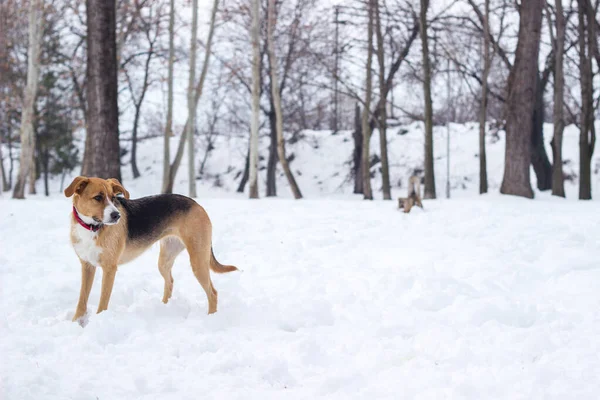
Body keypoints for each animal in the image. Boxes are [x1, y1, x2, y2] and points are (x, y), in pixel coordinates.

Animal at [63, 177, 237, 324]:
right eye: (98, 198)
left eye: (113, 198)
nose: (116, 215)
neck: (91, 227)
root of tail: (196, 204)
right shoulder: (87, 266)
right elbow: (82, 299)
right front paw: (76, 322)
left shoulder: (109, 269)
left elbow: (102, 302)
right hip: (165, 260)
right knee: (170, 282)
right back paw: (164, 308)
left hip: (198, 261)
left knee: (213, 293)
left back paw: (211, 318)